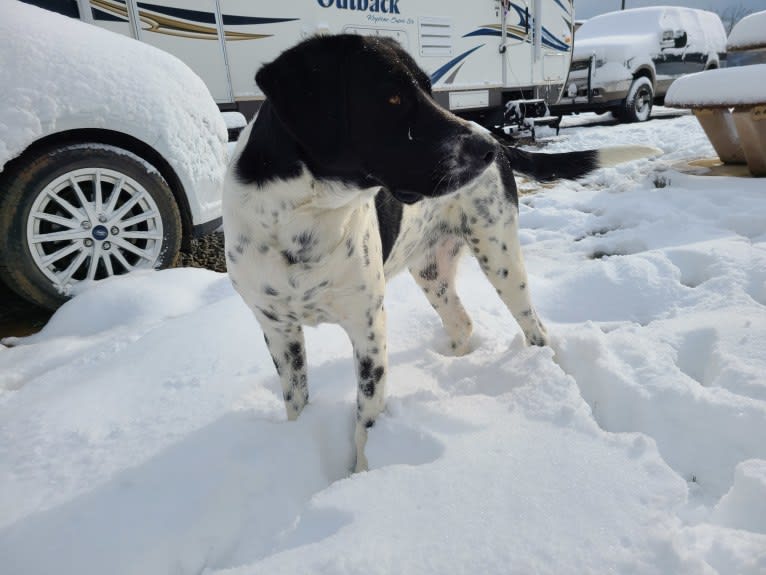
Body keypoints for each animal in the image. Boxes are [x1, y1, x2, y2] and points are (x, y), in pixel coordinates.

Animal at [225, 33, 664, 470]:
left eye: (429, 90)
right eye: (393, 98)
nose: (487, 149)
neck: (303, 223)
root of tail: (499, 139)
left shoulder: (368, 328)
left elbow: (365, 420)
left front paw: (361, 476)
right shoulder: (279, 332)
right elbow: (296, 404)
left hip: (500, 257)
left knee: (536, 329)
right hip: (431, 271)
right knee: (462, 323)